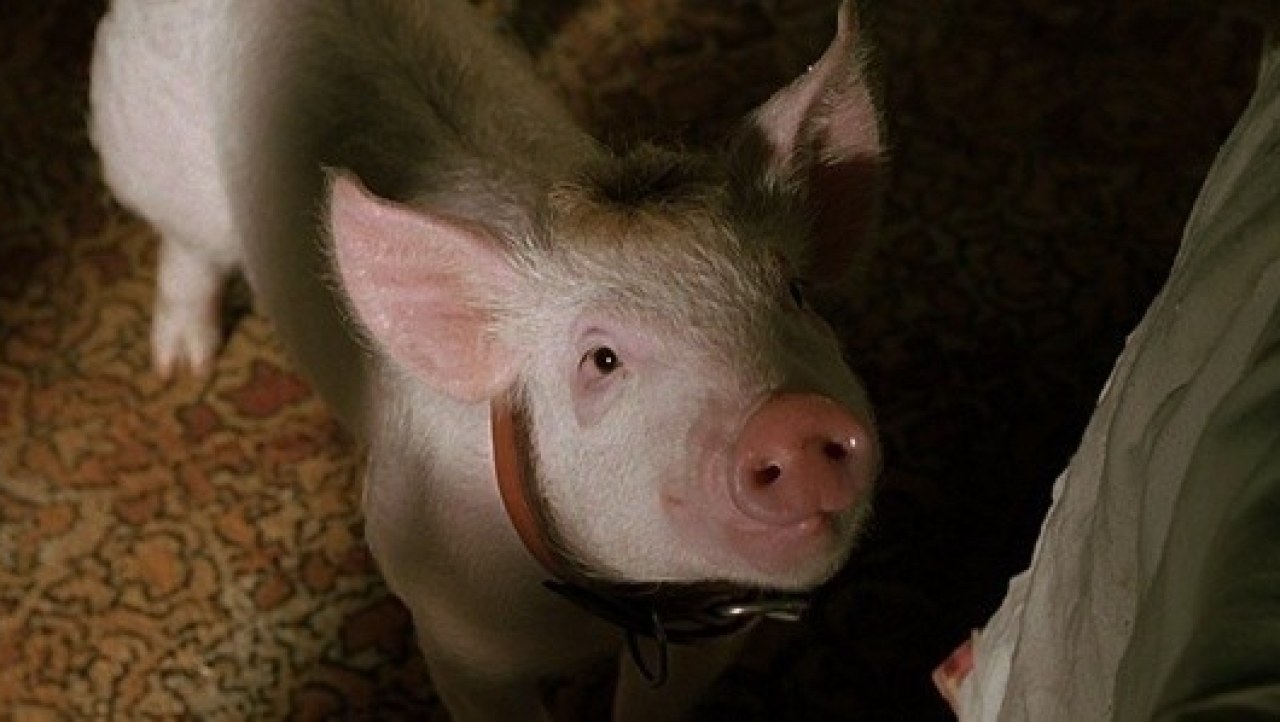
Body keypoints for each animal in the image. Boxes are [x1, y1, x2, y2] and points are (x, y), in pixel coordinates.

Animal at [89, 0, 884, 719]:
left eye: (793, 291)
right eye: (601, 360)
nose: (796, 420)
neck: (608, 613)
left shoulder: (711, 633)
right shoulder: (452, 636)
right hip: (147, 151)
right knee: (184, 248)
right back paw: (182, 367)